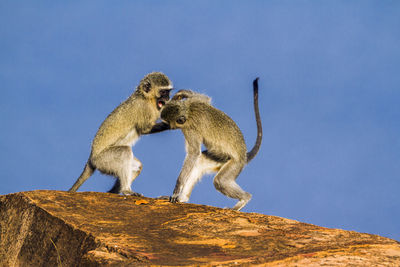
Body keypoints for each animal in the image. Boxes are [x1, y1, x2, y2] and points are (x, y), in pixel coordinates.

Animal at [159, 78, 262, 213]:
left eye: (167, 124)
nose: (164, 127)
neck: (188, 111)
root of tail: (244, 155)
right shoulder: (195, 102)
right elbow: (206, 98)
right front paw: (181, 94)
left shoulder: (190, 130)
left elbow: (193, 153)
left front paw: (176, 189)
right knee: (200, 162)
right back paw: (183, 198)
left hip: (235, 164)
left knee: (220, 181)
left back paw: (244, 199)